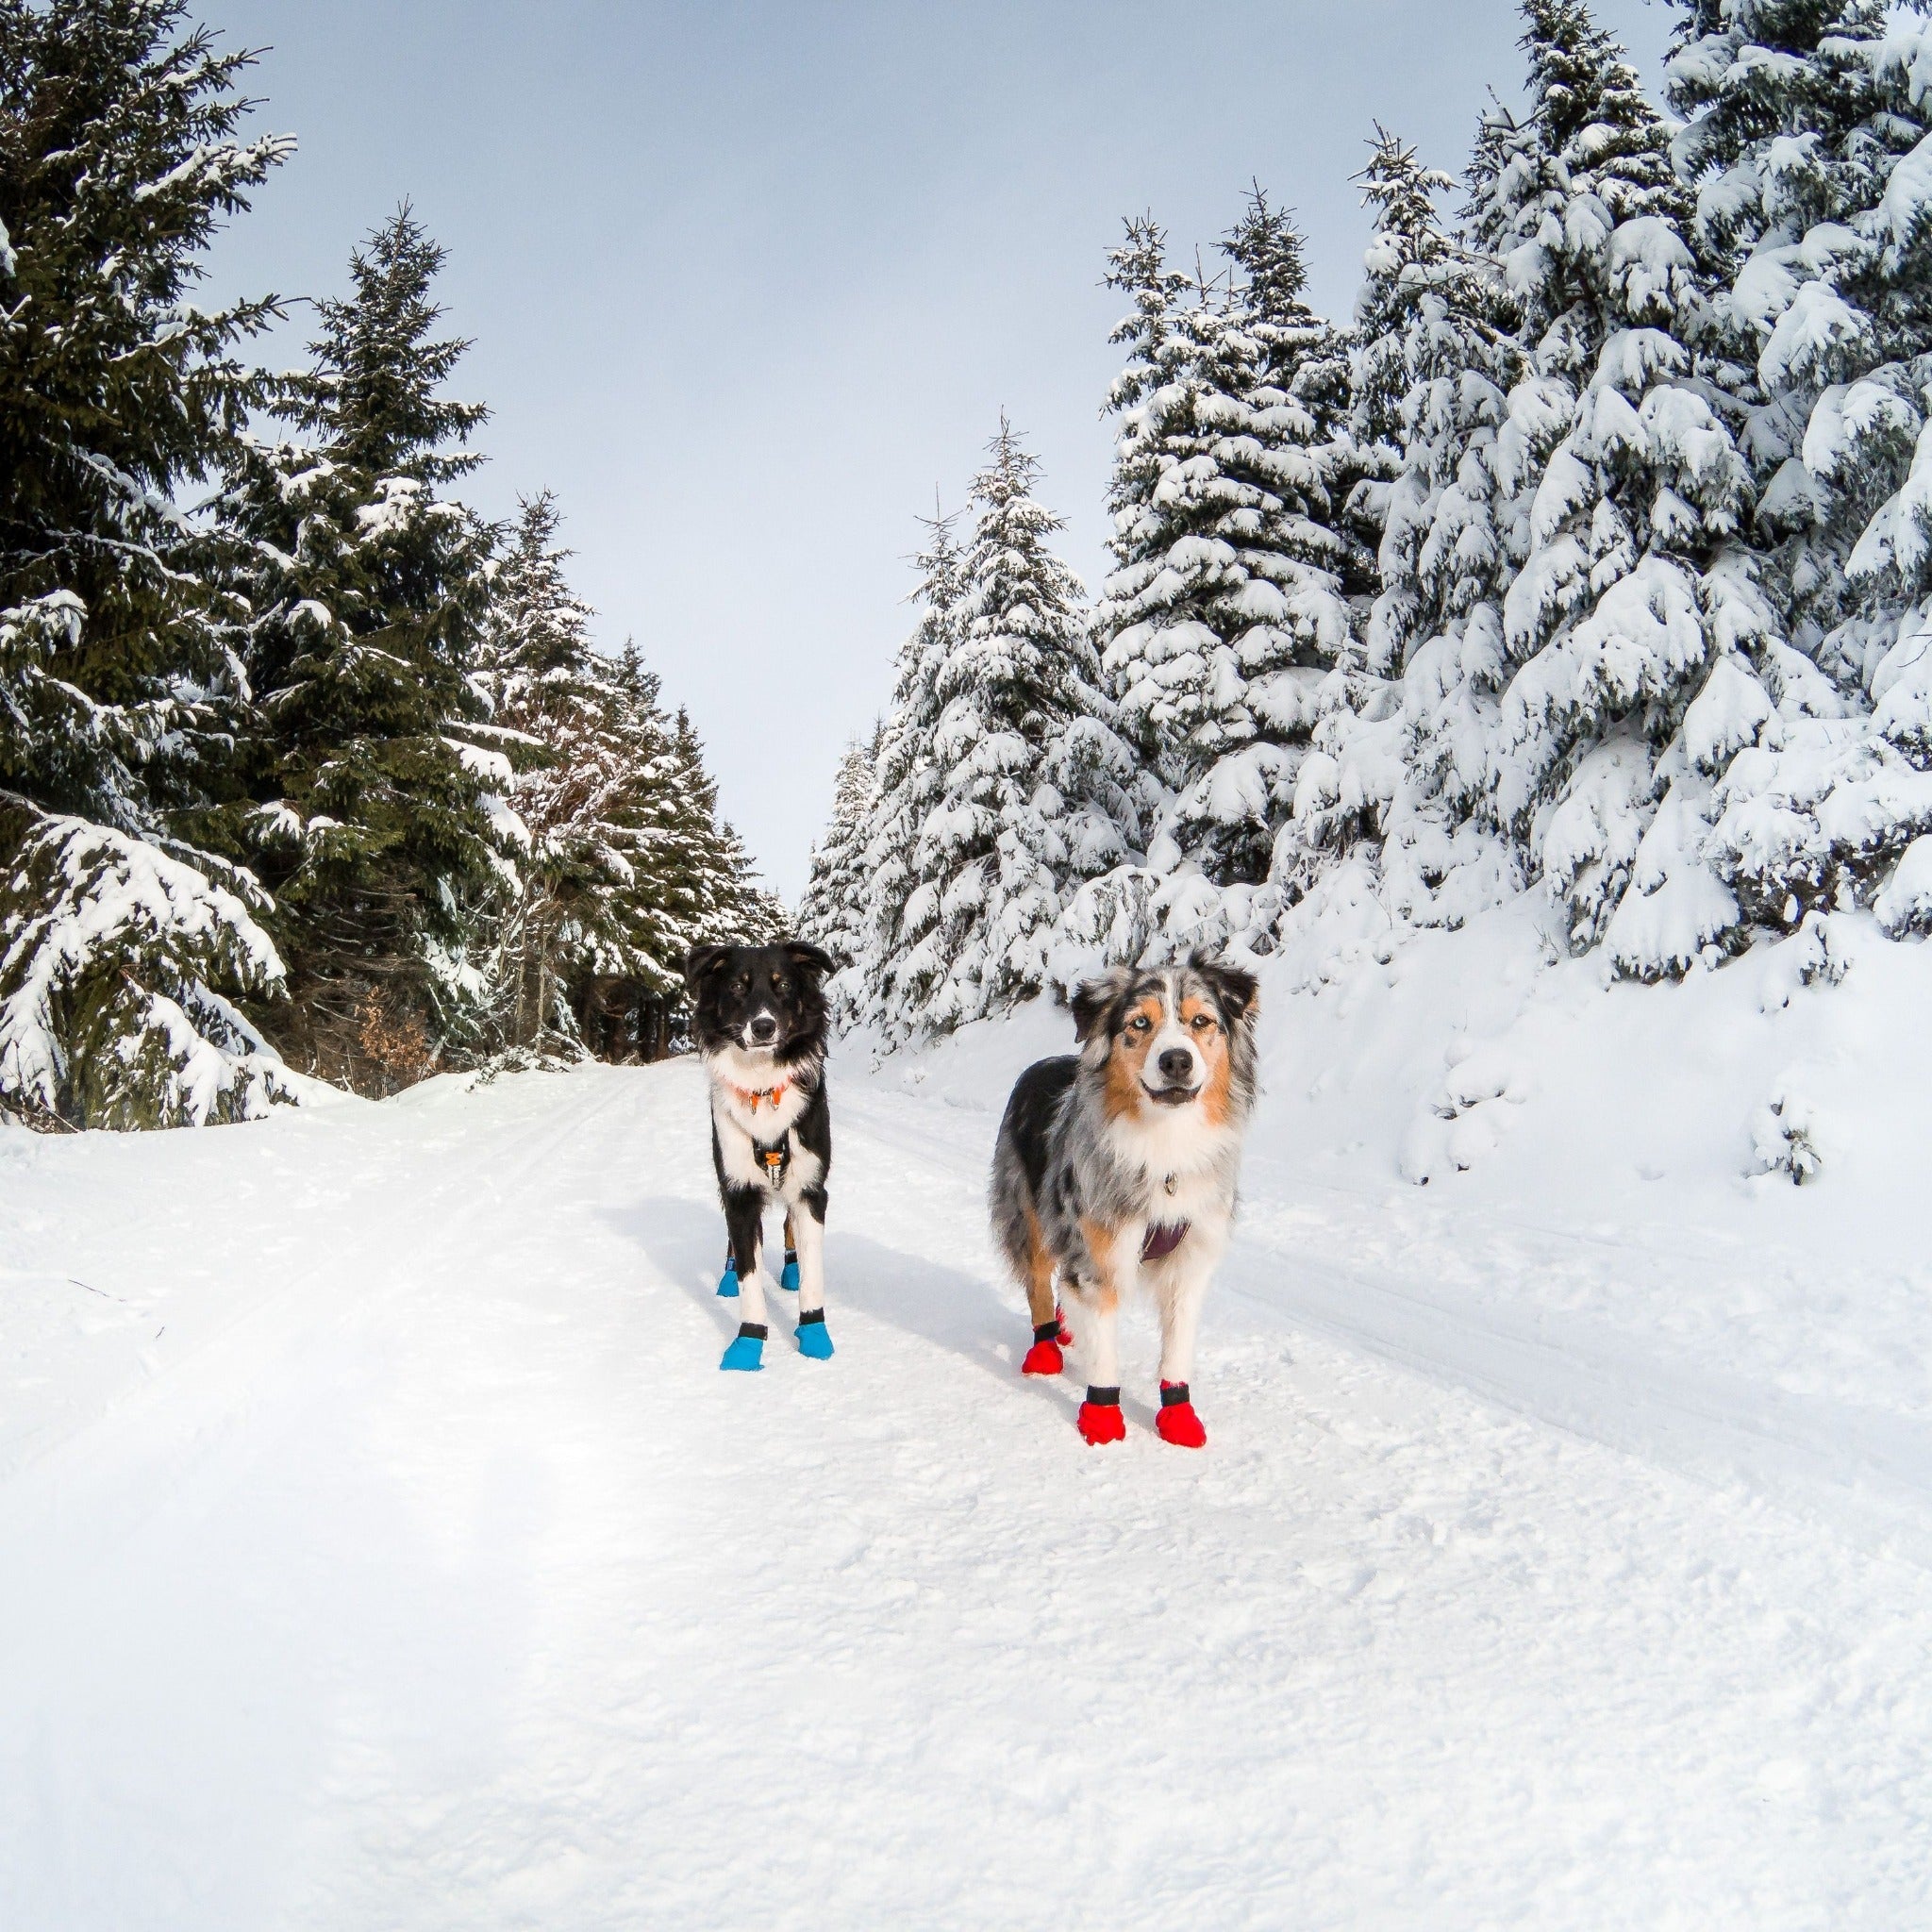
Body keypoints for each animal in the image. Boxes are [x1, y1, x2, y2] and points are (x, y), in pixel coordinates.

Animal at [683, 939, 834, 1375]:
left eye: (783, 986)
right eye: (737, 987)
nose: (763, 1026)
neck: (763, 1086)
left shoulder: (811, 1189)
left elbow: (814, 1273)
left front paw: (814, 1334)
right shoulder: (739, 1191)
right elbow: (750, 1274)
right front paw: (747, 1344)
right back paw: (728, 1275)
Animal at [989, 958, 1259, 1444]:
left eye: (1201, 1021)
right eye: (1140, 1023)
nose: (1176, 1060)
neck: (1165, 1147)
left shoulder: (1190, 1261)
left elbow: (1177, 1348)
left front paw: (1178, 1417)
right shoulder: (1100, 1254)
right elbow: (1103, 1348)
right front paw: (1101, 1419)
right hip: (1028, 1210)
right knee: (1039, 1282)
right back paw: (1046, 1350)